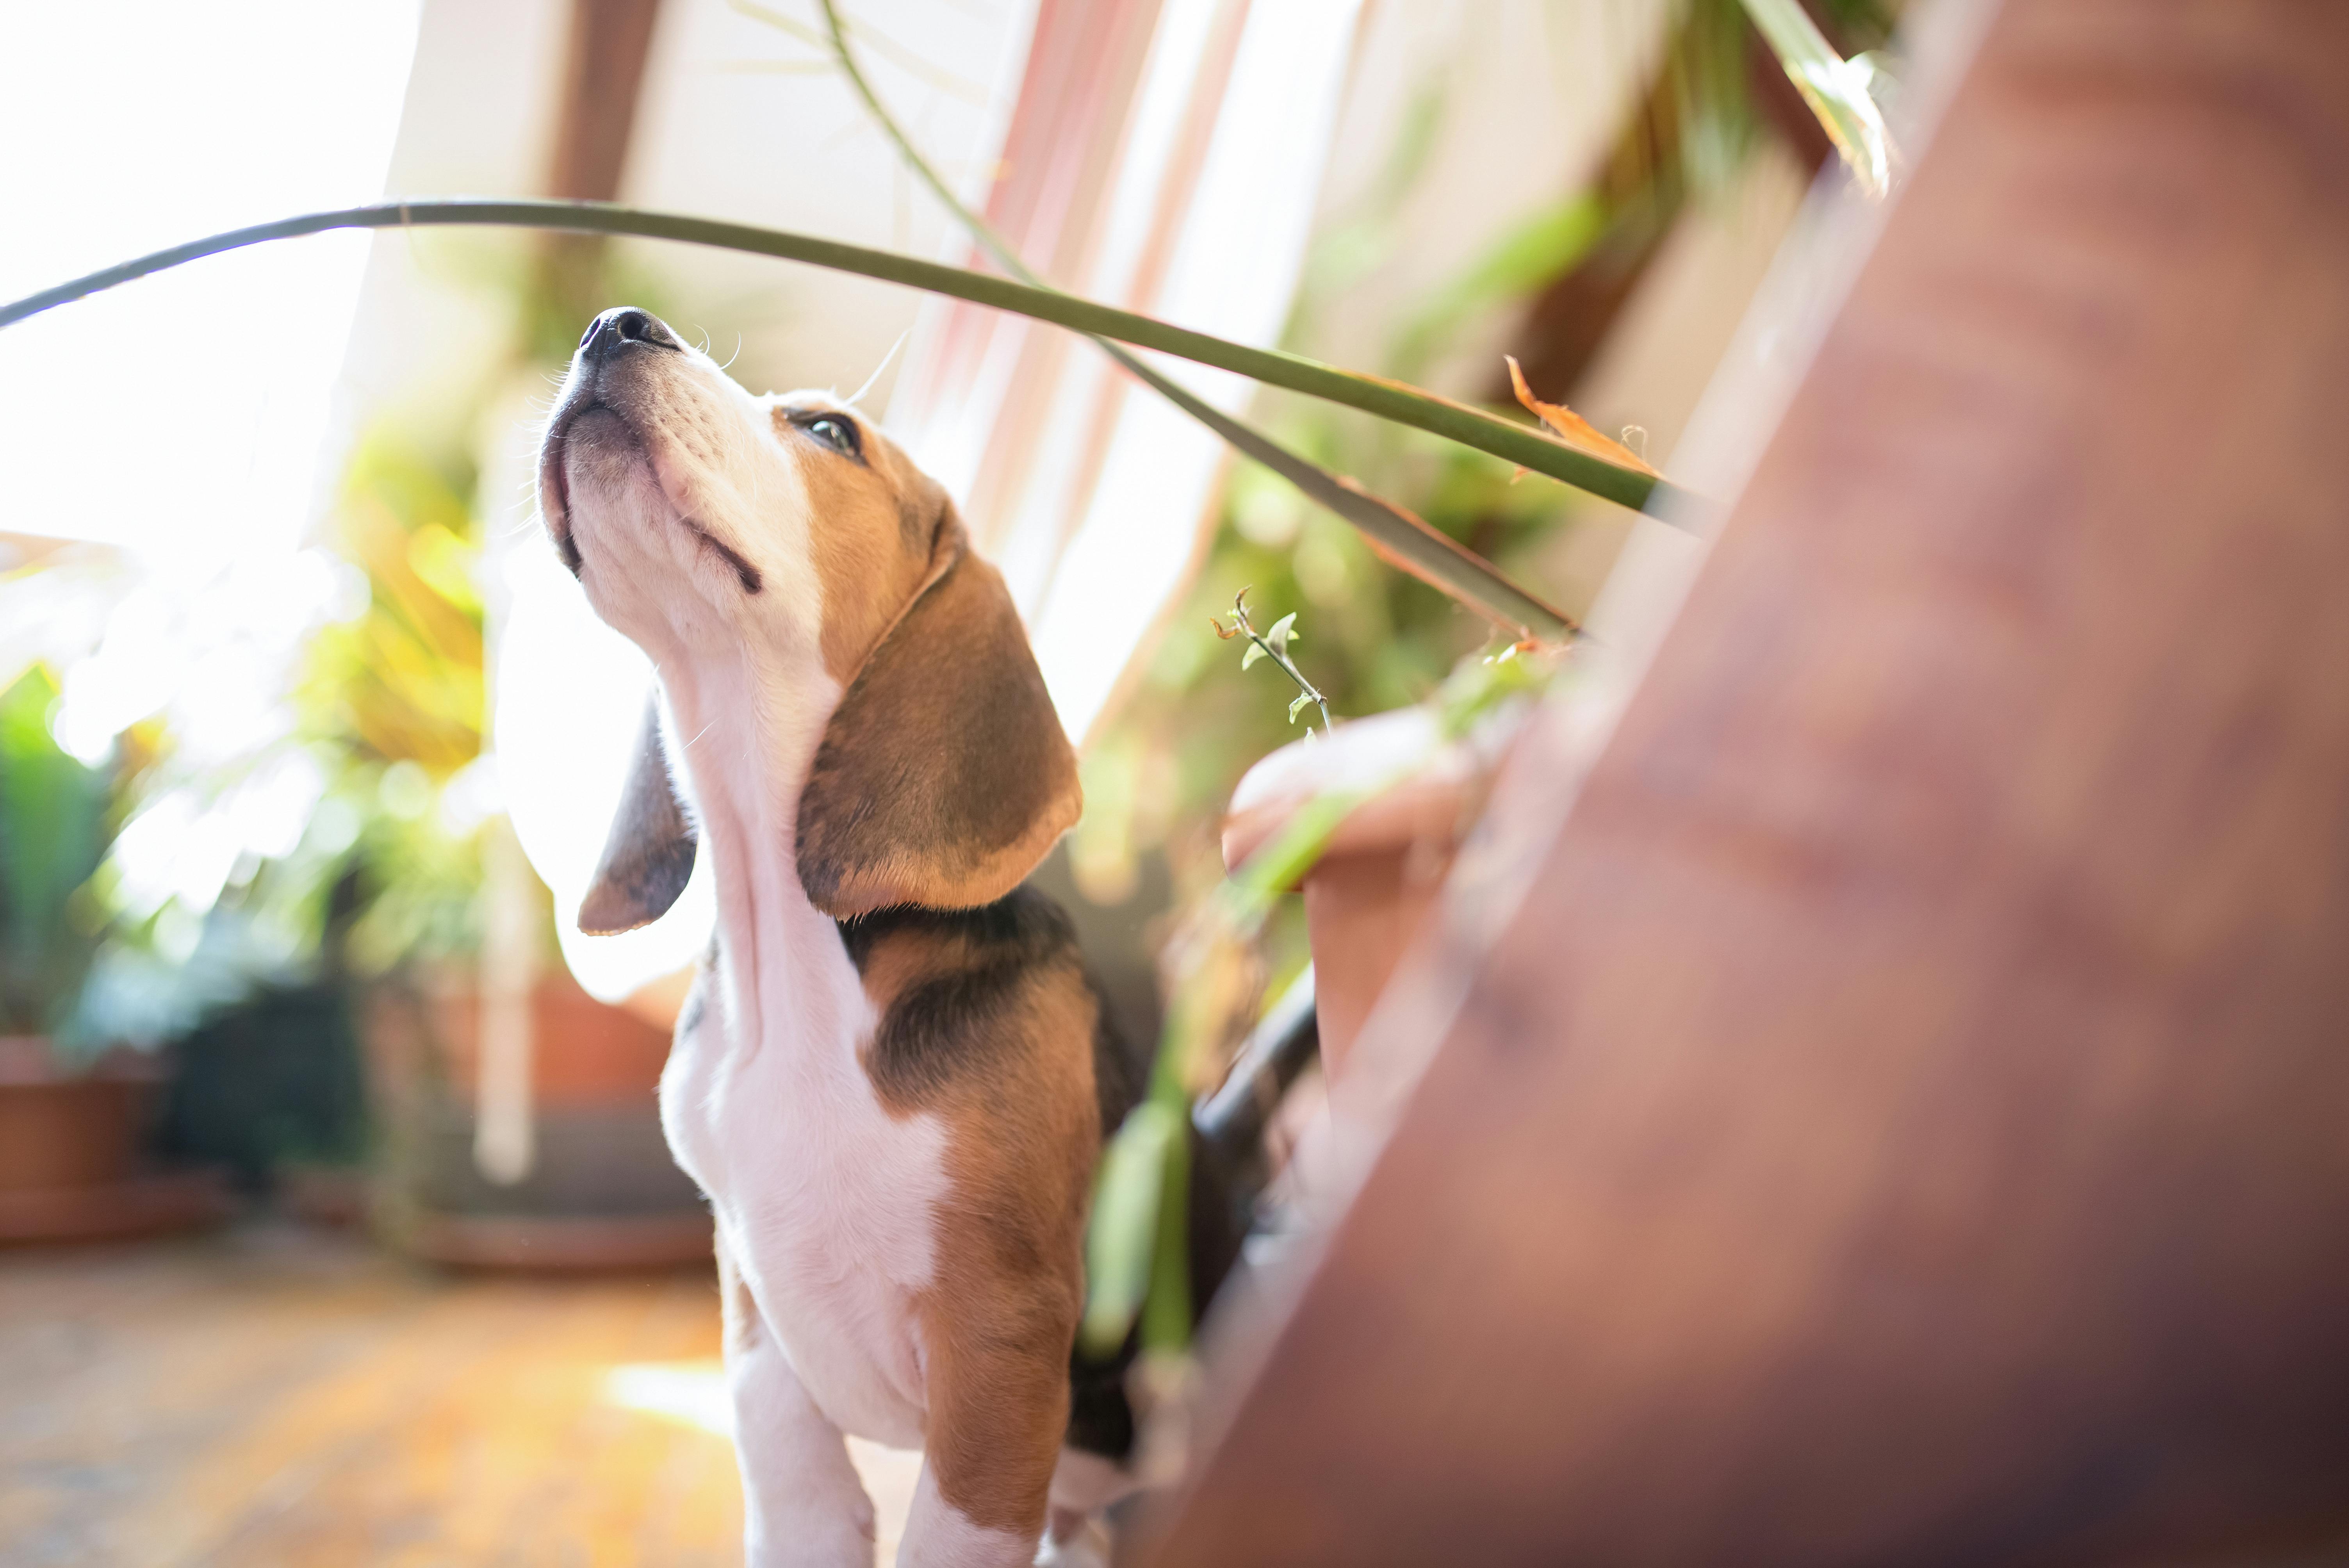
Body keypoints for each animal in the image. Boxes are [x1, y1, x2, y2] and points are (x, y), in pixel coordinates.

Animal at [533, 310, 1231, 1568]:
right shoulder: (758, 1339)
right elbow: (798, 1497)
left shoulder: (999, 1353)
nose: (615, 325)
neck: (796, 964)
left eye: (825, 432)